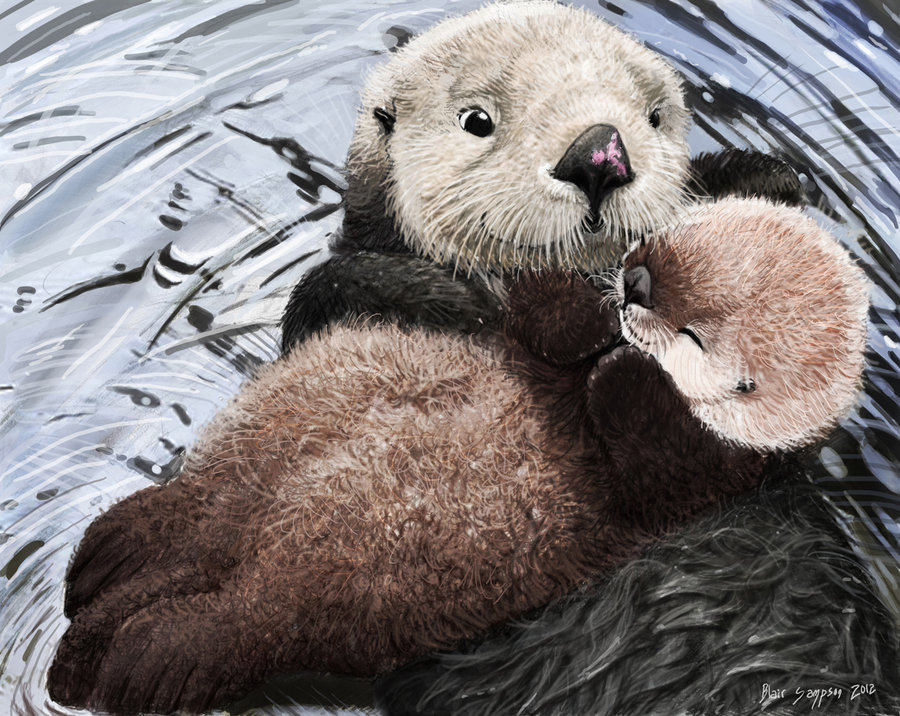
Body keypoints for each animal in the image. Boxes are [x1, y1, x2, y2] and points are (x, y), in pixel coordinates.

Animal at [48, 197, 868, 714]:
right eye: (675, 240)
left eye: (701, 332)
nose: (634, 281)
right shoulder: (541, 343)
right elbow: (544, 324)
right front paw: (579, 299)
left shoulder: (693, 480)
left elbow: (649, 459)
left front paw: (630, 371)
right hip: (234, 484)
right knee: (179, 522)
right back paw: (100, 571)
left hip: (285, 603)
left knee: (205, 624)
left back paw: (106, 666)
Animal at [279, 0, 802, 353]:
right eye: (477, 121)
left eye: (654, 117)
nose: (600, 156)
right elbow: (325, 290)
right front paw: (449, 295)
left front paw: (764, 183)